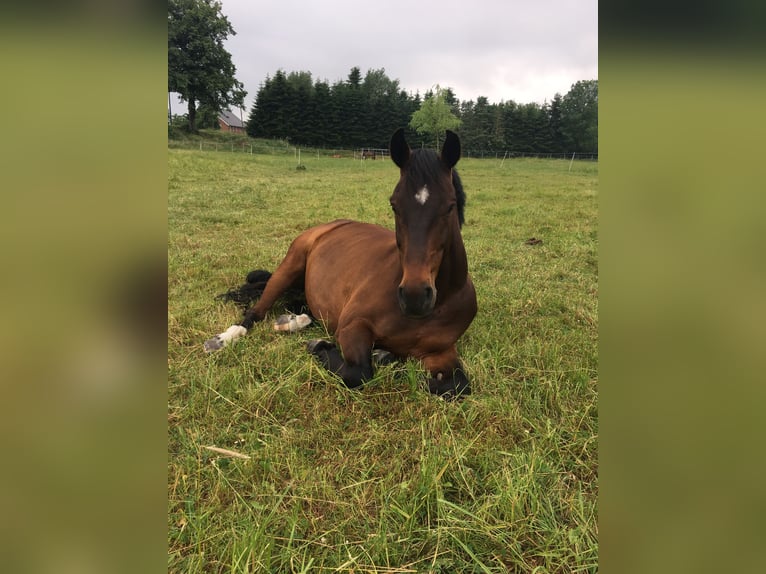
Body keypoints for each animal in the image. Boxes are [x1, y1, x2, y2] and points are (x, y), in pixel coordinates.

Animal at [207, 129, 476, 400]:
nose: (415, 297)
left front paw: (385, 356)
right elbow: (359, 372)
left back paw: (292, 321)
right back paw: (223, 339)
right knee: (256, 312)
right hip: (290, 265)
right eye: (394, 205)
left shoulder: (440, 351)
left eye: (450, 205)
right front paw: (319, 346)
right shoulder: (353, 327)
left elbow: (457, 385)